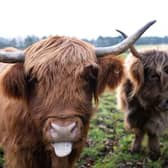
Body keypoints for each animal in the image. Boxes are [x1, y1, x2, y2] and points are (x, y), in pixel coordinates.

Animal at [116, 28, 168, 160]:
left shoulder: (158, 115)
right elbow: (138, 131)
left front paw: (155, 153)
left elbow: (152, 131)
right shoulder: (132, 111)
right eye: (154, 76)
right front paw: (135, 149)